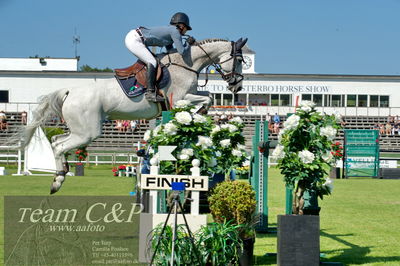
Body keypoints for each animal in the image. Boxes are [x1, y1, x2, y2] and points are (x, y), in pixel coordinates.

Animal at [20, 37, 248, 193]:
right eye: (238, 60)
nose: (237, 86)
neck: (186, 64)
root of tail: (69, 92)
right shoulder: (178, 99)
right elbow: (204, 100)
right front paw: (196, 114)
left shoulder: (189, 95)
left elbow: (208, 96)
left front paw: (199, 114)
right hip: (87, 132)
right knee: (60, 146)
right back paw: (58, 180)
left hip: (79, 130)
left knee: (56, 140)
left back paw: (59, 175)